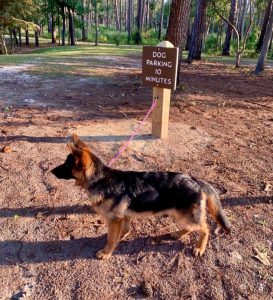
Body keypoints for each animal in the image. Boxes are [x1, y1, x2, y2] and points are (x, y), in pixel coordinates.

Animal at [51, 135, 230, 258]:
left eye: (66, 165)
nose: (51, 171)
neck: (101, 179)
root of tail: (195, 180)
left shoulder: (114, 220)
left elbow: (110, 238)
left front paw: (106, 253)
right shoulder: (123, 217)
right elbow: (123, 229)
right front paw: (122, 236)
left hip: (186, 216)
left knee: (205, 229)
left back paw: (200, 248)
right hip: (179, 215)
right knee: (192, 227)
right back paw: (178, 234)